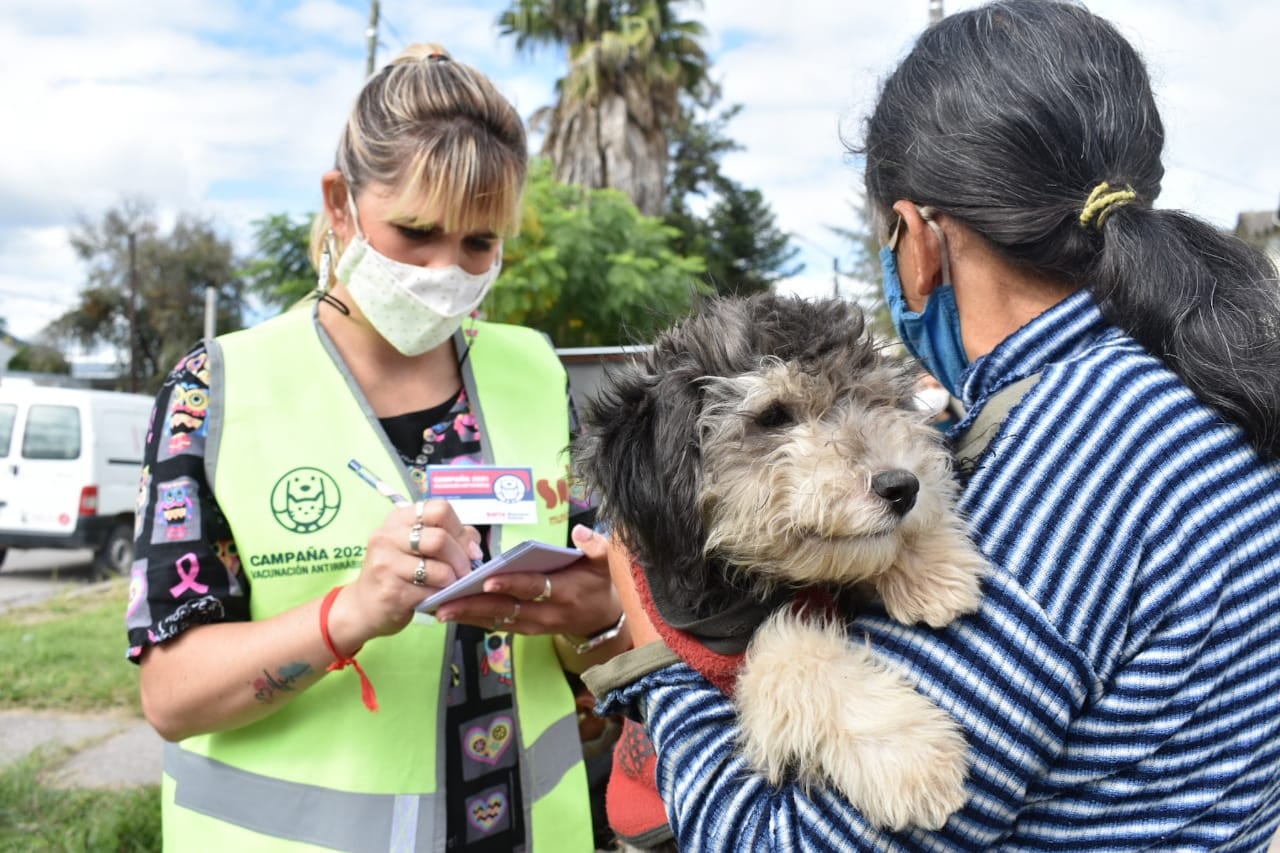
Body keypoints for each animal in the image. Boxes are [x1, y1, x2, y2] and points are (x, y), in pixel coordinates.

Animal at [576, 294, 983, 829]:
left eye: (875, 401)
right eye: (774, 416)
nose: (902, 487)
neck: (754, 582)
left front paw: (932, 566)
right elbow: (790, 655)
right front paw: (909, 755)